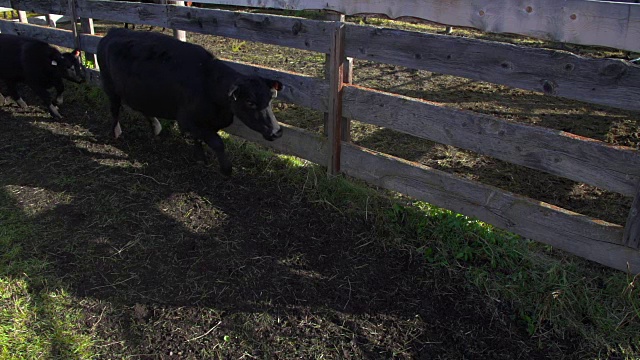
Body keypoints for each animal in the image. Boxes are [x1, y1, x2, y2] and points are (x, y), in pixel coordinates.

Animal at [97, 28, 282, 176]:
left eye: (270, 98)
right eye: (250, 102)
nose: (277, 131)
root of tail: (113, 31)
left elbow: (199, 139)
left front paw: (200, 158)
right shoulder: (186, 121)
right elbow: (217, 143)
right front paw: (226, 169)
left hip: (140, 93)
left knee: (142, 108)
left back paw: (156, 127)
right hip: (109, 86)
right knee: (114, 109)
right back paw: (116, 132)